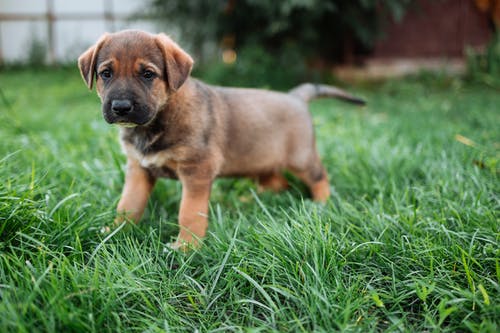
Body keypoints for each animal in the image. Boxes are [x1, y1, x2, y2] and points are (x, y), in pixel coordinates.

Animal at [79, 29, 368, 248]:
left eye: (148, 74)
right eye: (106, 73)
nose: (121, 107)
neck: (158, 120)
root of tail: (296, 97)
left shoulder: (196, 170)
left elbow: (189, 213)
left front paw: (186, 247)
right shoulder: (139, 169)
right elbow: (128, 204)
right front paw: (114, 231)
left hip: (301, 158)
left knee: (319, 177)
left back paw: (321, 204)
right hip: (263, 162)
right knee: (277, 182)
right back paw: (254, 200)